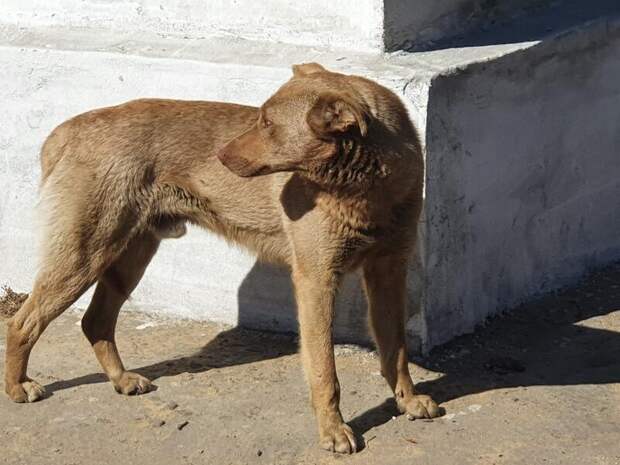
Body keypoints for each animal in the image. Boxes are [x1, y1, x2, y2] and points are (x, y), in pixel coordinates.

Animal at [4, 62, 440, 454]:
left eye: (267, 124)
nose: (219, 155)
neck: (366, 187)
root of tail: (69, 128)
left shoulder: (388, 271)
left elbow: (395, 349)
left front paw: (407, 400)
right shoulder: (317, 278)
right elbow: (324, 370)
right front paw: (333, 430)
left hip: (128, 258)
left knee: (95, 322)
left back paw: (122, 379)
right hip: (85, 254)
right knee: (22, 322)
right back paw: (16, 386)